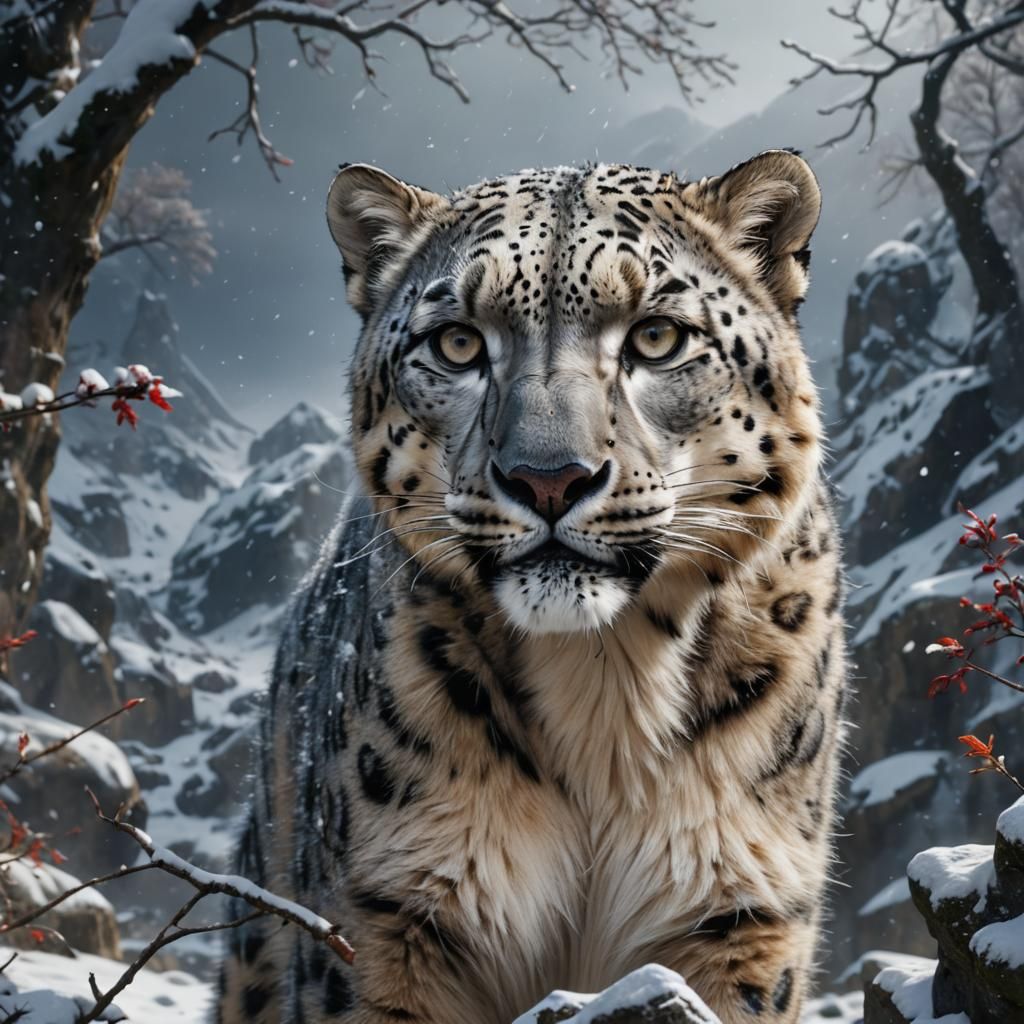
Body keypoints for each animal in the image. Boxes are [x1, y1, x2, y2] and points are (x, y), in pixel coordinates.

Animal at [215, 149, 849, 1024]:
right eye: (456, 342)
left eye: (657, 336)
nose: (548, 479)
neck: (605, 690)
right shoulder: (384, 916)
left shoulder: (742, 913)